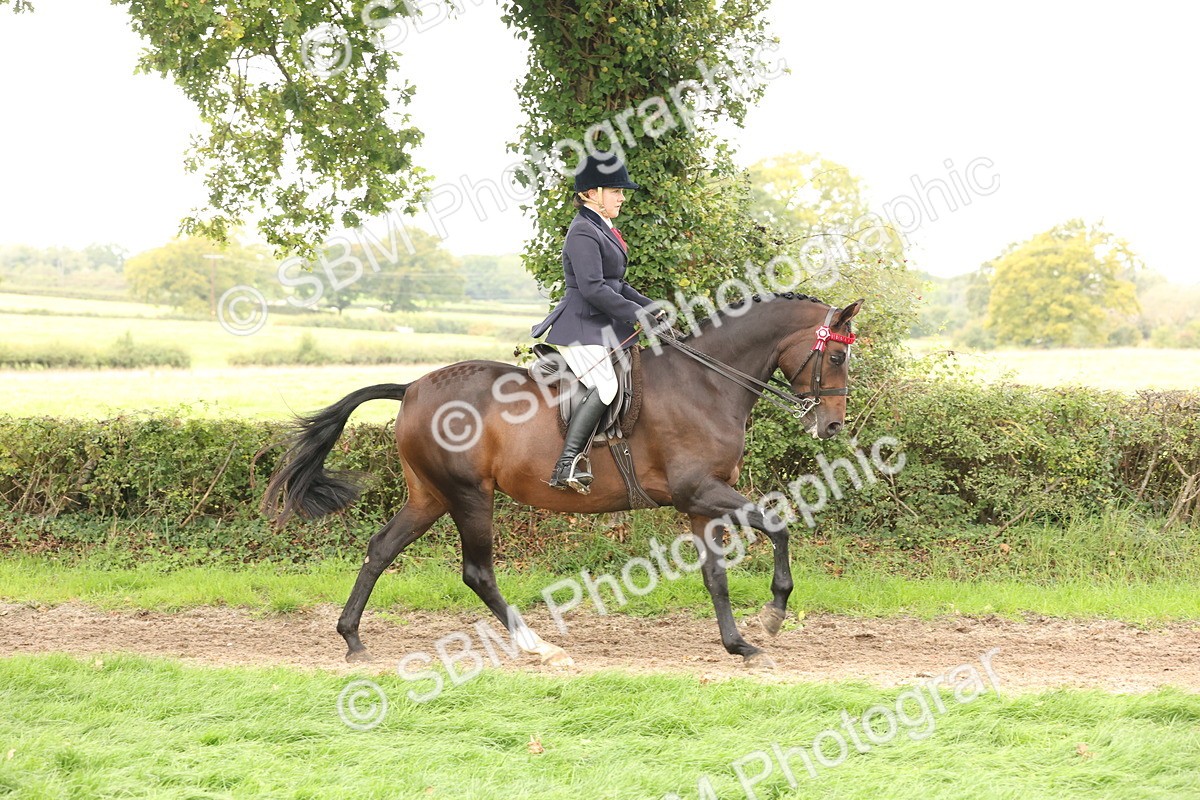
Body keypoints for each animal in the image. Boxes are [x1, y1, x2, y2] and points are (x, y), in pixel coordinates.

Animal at [263, 293, 863, 669]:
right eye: (836, 356)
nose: (832, 425)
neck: (707, 381)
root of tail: (412, 387)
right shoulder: (700, 491)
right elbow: (779, 525)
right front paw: (773, 616)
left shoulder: (701, 501)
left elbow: (715, 576)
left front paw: (739, 644)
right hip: (469, 495)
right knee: (477, 572)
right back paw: (539, 647)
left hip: (430, 496)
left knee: (381, 548)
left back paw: (353, 640)